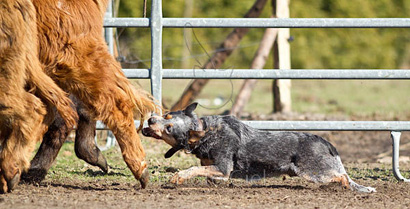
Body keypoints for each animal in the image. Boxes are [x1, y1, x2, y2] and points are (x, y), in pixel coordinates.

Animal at [143, 103, 376, 193]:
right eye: (167, 116)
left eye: (169, 128)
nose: (151, 119)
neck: (206, 132)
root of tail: (326, 142)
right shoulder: (216, 170)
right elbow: (205, 174)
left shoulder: (223, 168)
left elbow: (192, 169)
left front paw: (178, 177)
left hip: (314, 172)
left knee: (342, 177)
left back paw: (344, 187)